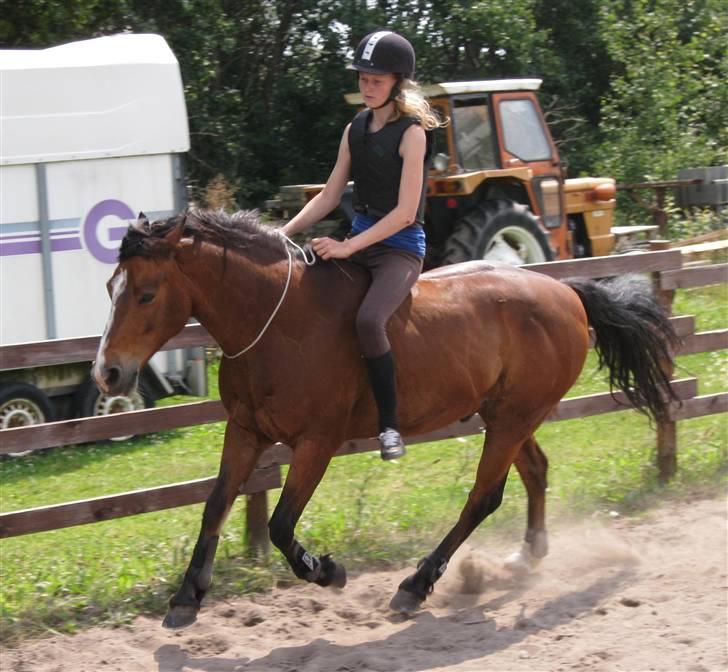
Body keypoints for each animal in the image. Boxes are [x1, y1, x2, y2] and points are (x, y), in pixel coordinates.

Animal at [92, 211, 676, 632]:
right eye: (110, 289)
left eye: (146, 293)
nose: (108, 373)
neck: (277, 324)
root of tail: (568, 293)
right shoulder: (246, 432)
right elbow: (215, 506)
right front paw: (186, 598)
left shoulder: (317, 442)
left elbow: (280, 525)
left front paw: (328, 572)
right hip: (508, 416)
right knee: (535, 471)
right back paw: (527, 556)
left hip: (512, 419)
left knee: (483, 497)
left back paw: (415, 586)